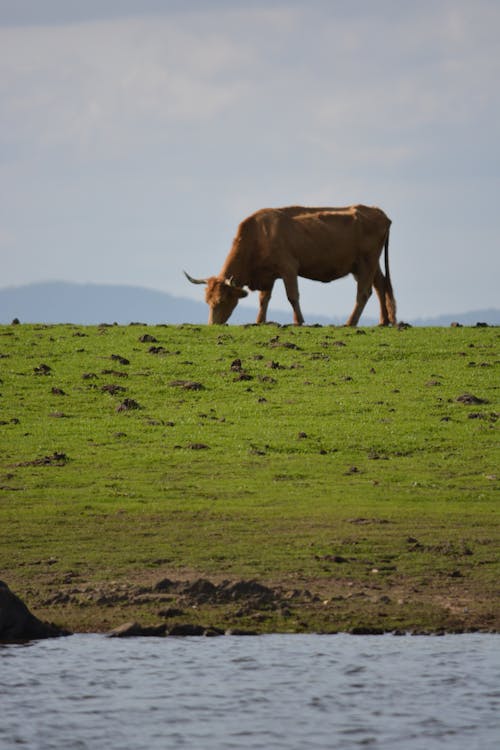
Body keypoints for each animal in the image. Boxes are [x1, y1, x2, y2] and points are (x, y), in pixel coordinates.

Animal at [183, 206, 394, 326]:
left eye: (221, 300)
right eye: (207, 301)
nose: (212, 324)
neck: (260, 234)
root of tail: (379, 213)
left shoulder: (289, 268)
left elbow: (292, 296)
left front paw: (299, 321)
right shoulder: (267, 275)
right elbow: (264, 299)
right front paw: (260, 321)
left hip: (367, 262)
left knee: (364, 293)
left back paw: (350, 323)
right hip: (366, 265)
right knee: (380, 286)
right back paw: (383, 321)